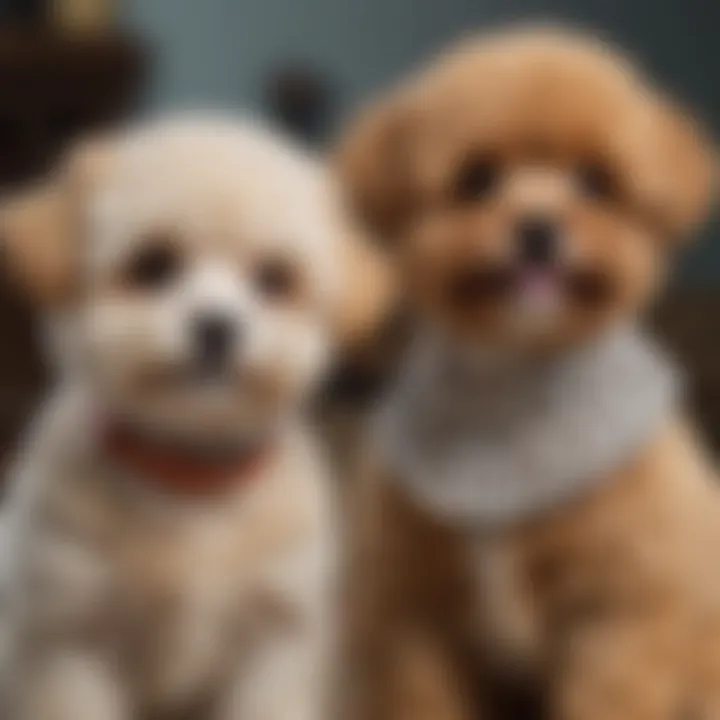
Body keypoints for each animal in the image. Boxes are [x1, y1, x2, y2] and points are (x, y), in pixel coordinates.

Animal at [0, 118, 388, 720]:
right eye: (153, 264)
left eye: (273, 278)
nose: (218, 327)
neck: (190, 476)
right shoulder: (70, 638)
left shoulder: (275, 640)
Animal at [338, 25, 720, 720]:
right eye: (476, 178)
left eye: (595, 182)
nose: (538, 228)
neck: (512, 384)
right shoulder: (414, 614)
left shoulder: (623, 607)